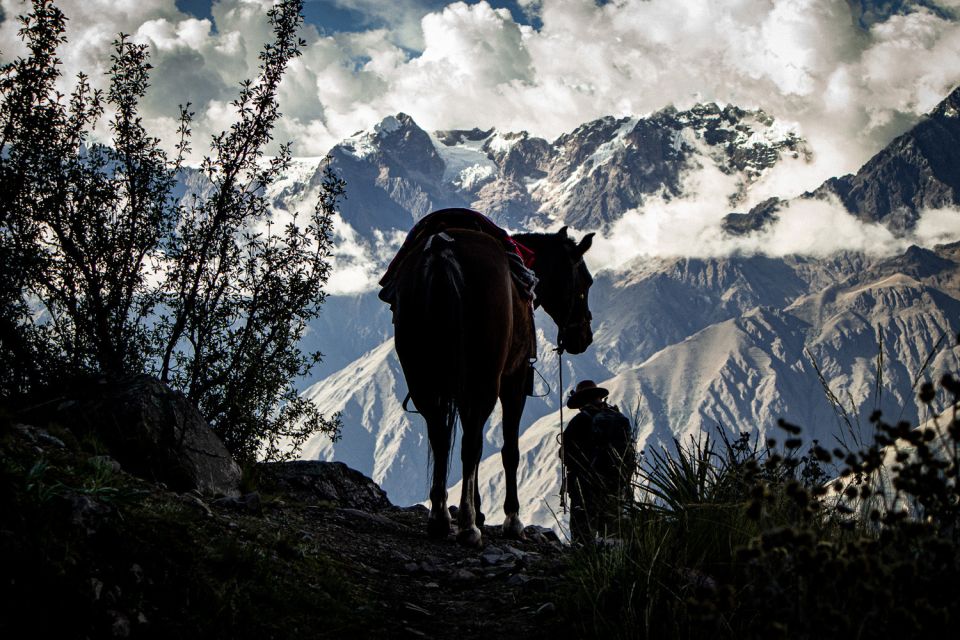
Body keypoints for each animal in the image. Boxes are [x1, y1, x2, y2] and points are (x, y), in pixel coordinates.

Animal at [382, 209, 592, 544]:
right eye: (585, 281)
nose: (583, 336)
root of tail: (442, 249)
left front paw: (478, 511)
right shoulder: (514, 380)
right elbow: (508, 450)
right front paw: (510, 519)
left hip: (422, 378)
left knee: (440, 437)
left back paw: (440, 519)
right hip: (484, 379)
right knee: (470, 444)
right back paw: (468, 527)